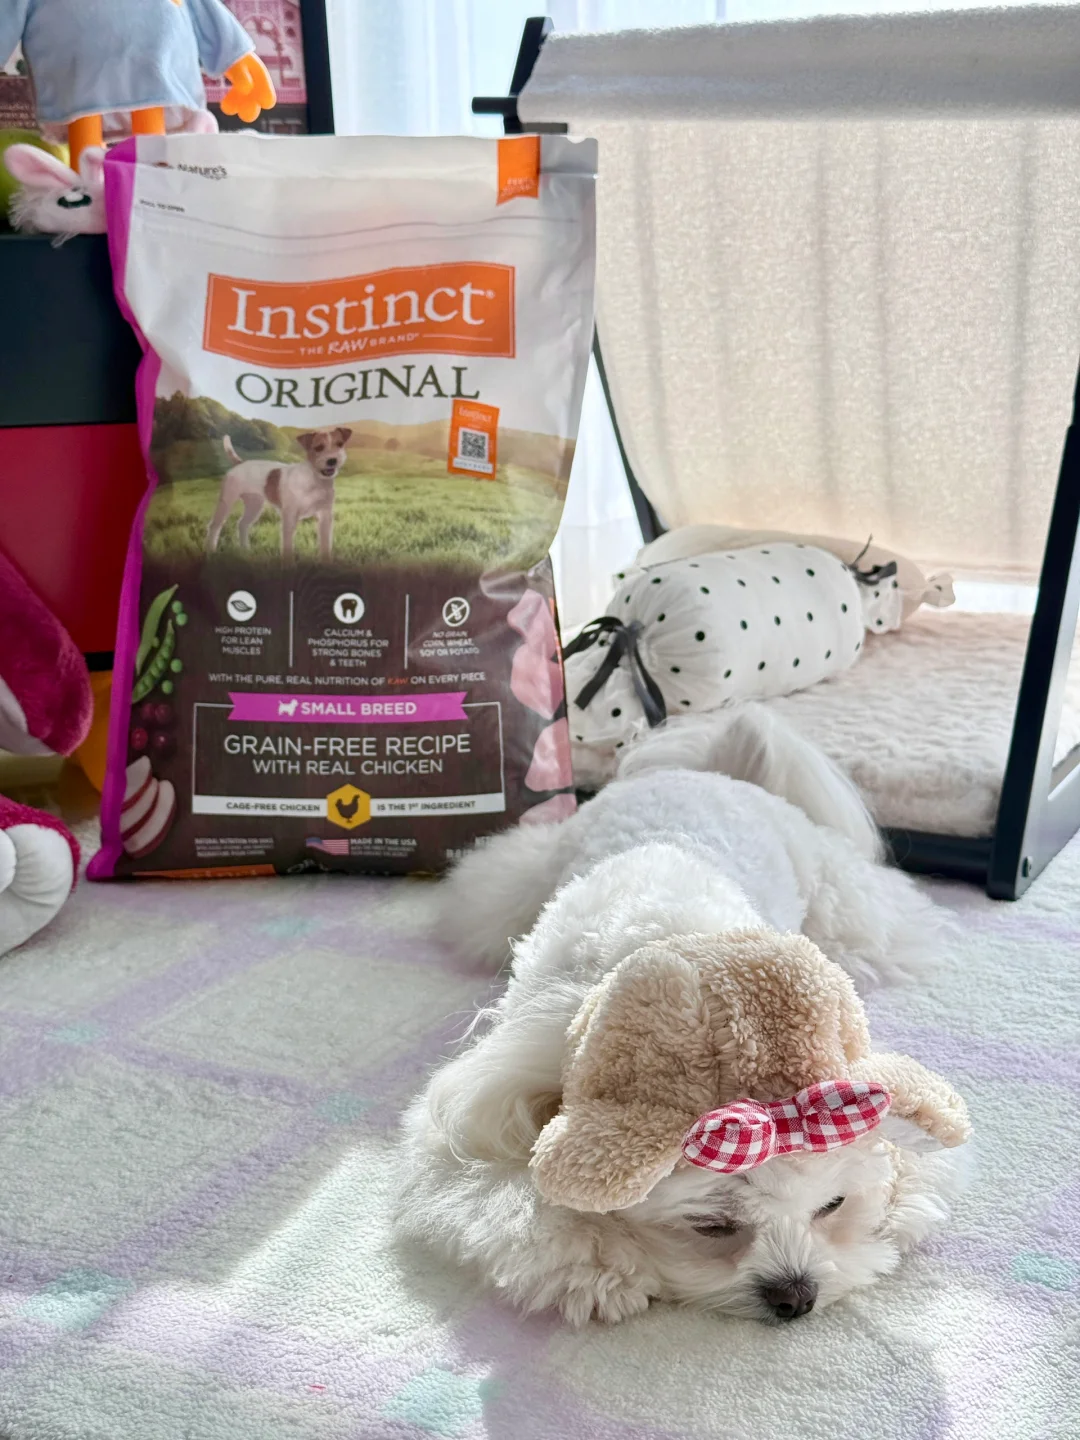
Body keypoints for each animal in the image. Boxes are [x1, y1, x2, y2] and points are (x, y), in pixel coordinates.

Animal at [206, 428, 352, 560]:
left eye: (340, 444)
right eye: (319, 447)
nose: (332, 460)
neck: (314, 479)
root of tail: (240, 463)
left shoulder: (325, 516)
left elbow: (325, 544)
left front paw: (326, 563)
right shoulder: (289, 516)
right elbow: (287, 545)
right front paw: (288, 566)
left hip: (254, 504)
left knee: (242, 524)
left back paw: (246, 550)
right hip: (227, 501)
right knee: (214, 526)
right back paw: (211, 551)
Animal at [397, 707, 970, 1327]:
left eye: (832, 1205)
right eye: (711, 1226)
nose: (796, 1296)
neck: (685, 957)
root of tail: (711, 769)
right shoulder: (493, 1100)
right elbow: (512, 1196)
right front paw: (595, 1265)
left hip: (839, 902)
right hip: (519, 885)